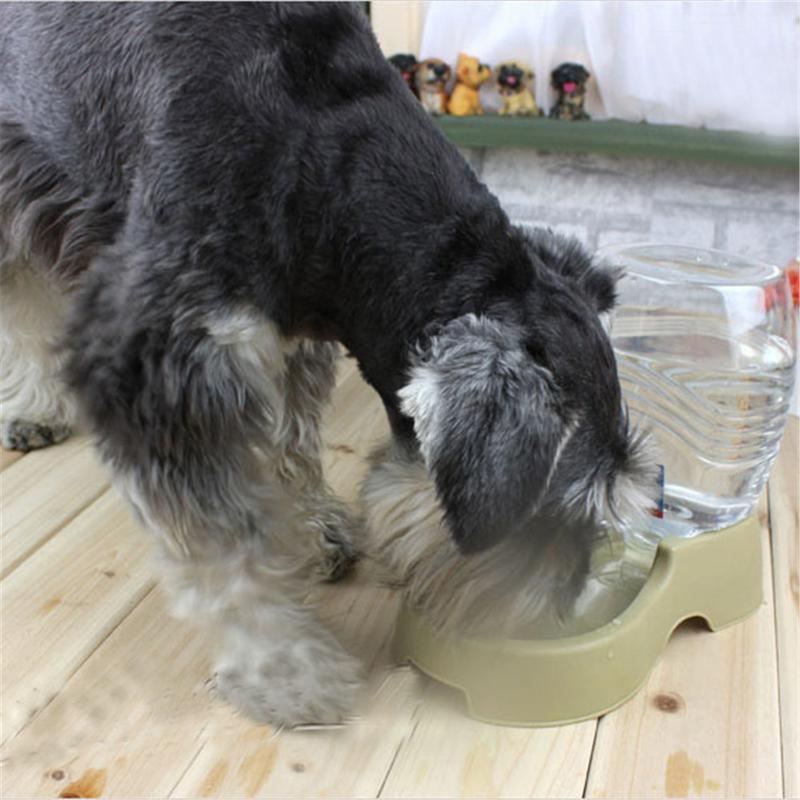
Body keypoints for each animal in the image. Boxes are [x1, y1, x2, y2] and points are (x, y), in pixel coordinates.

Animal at [1, 4, 656, 732]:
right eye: (551, 512)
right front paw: (287, 671)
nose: (560, 615)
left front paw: (314, 532)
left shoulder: (293, 324)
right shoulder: (156, 364)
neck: (318, 152)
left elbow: (294, 441)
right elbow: (223, 545)